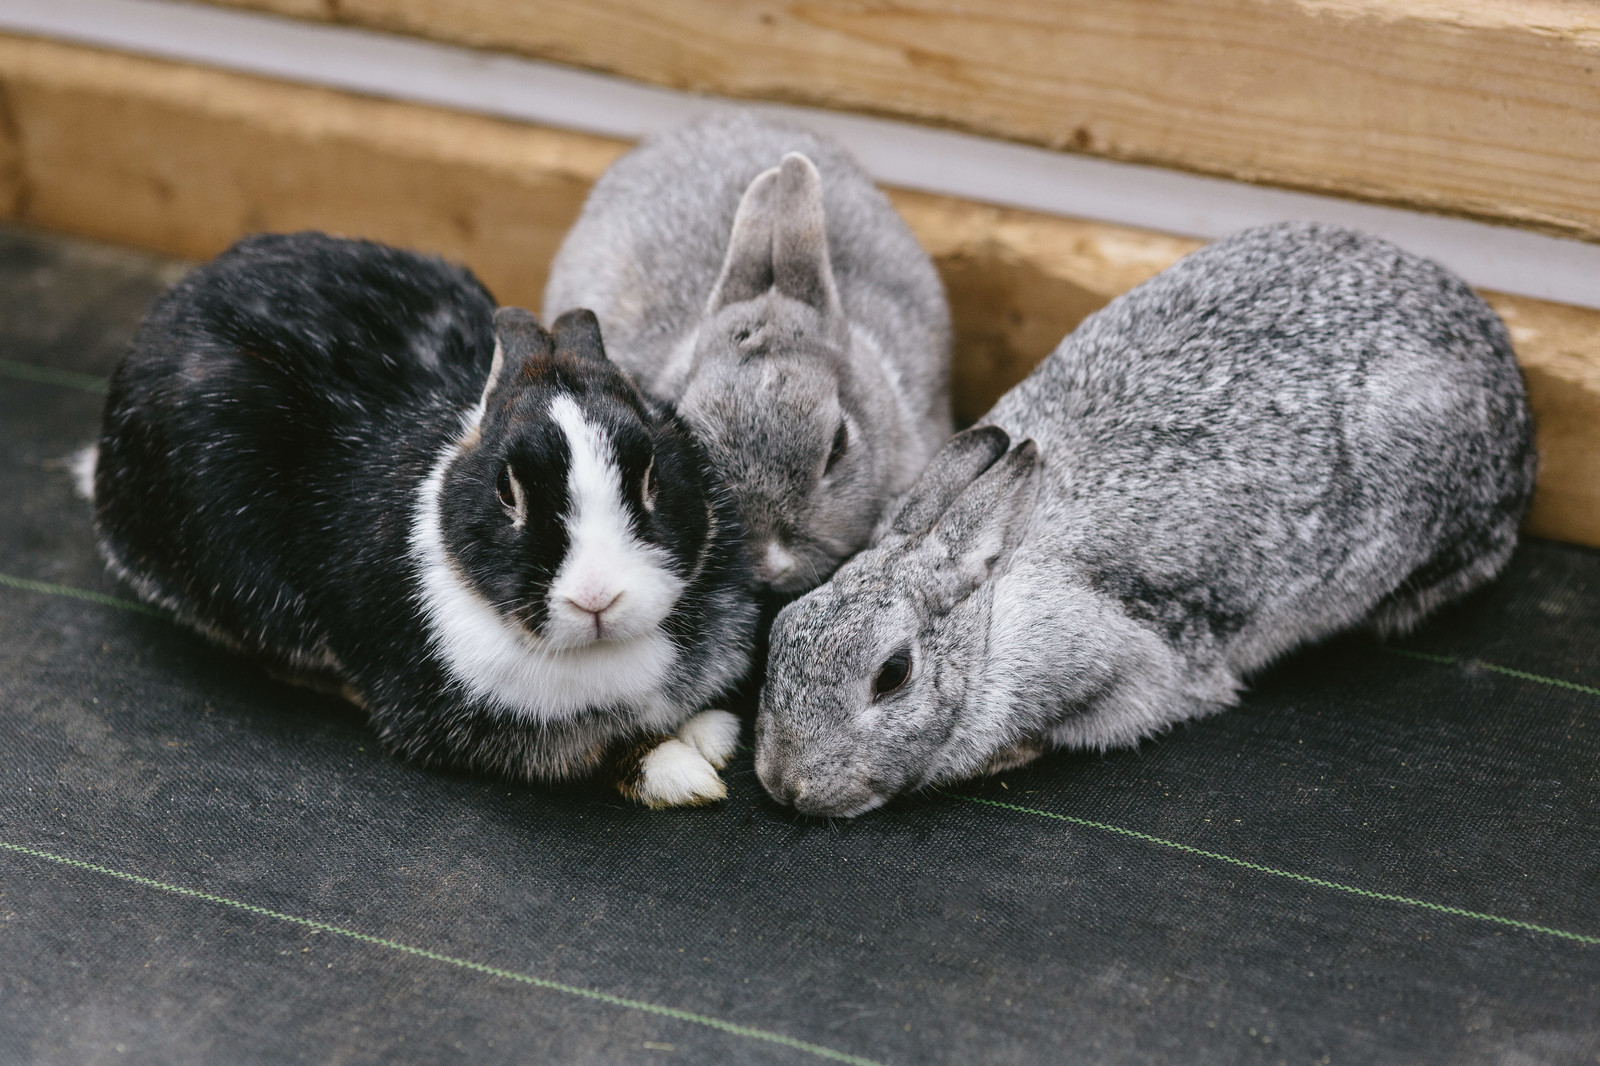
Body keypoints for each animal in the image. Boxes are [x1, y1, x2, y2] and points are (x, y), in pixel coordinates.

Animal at [84, 228, 758, 800]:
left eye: (650, 475)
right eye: (506, 491)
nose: (597, 599)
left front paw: (711, 731)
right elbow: (595, 753)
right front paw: (684, 772)